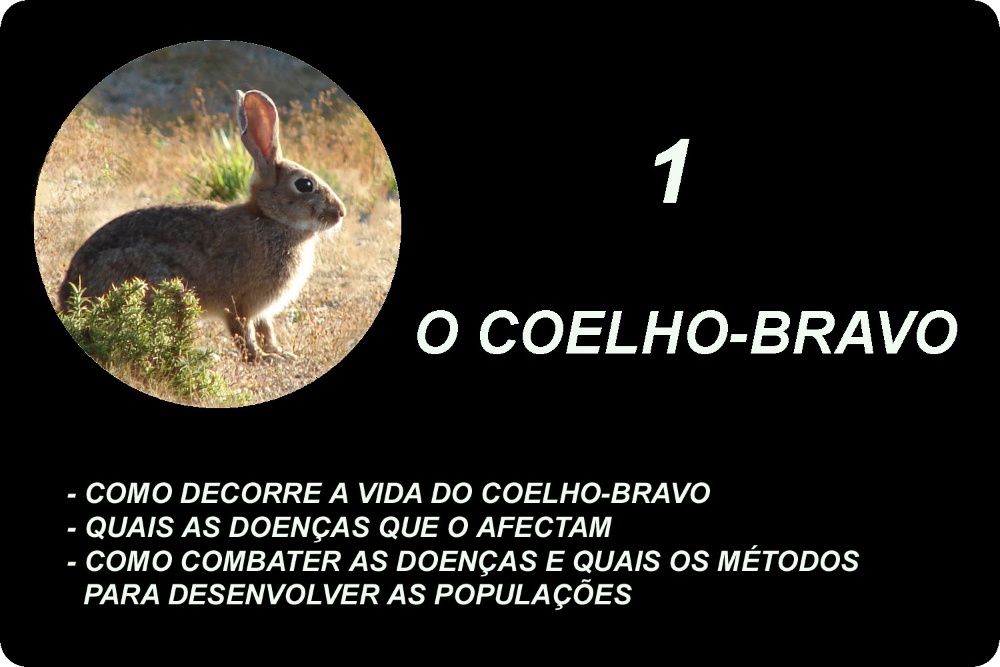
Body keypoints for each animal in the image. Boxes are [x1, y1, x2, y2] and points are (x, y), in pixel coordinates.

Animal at [58, 90, 347, 362]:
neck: (270, 219)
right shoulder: (238, 303)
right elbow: (244, 333)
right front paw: (261, 358)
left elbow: (267, 330)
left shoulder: (262, 310)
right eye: (305, 184)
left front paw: (280, 353)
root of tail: (69, 301)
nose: (340, 213)